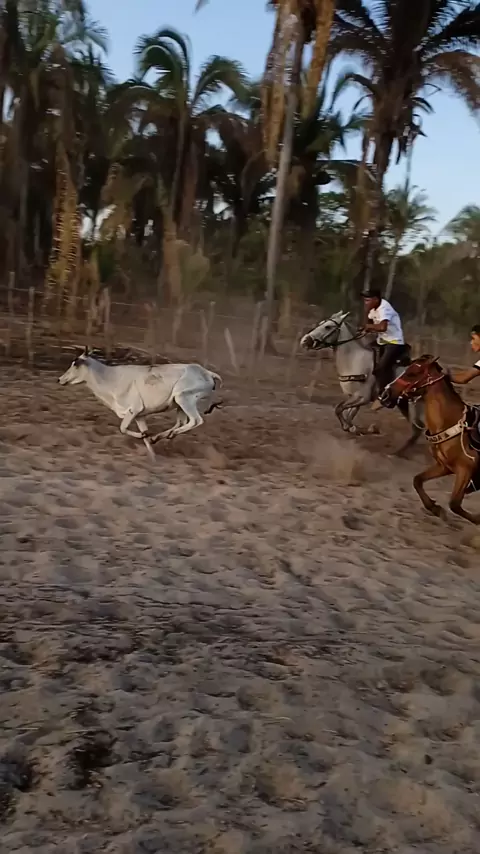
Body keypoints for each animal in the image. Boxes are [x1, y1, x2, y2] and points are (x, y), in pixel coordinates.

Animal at [300, 311, 424, 456]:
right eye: (321, 323)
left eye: (328, 327)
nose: (305, 340)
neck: (354, 360)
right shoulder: (354, 398)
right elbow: (347, 417)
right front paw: (359, 429)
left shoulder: (362, 397)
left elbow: (339, 409)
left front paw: (364, 429)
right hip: (404, 404)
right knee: (417, 429)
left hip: (414, 406)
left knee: (418, 428)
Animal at [381, 355, 480, 524]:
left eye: (412, 373)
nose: (386, 394)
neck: (450, 422)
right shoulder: (444, 467)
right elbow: (417, 480)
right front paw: (435, 508)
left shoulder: (465, 469)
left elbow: (454, 504)